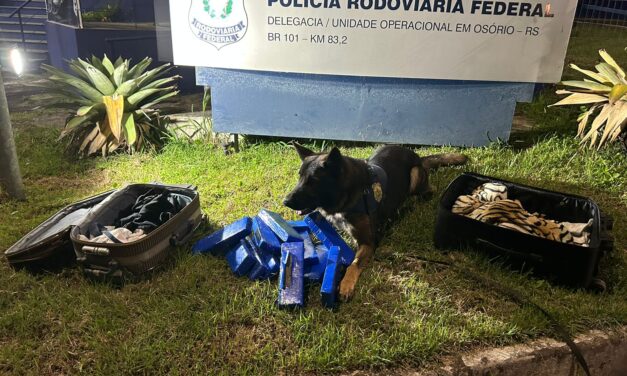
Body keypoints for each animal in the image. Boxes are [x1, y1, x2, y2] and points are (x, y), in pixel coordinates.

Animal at [284, 142, 466, 302]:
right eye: (300, 177)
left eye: (313, 181)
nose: (285, 201)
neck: (347, 193)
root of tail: (417, 156)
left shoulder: (368, 242)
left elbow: (354, 264)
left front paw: (346, 284)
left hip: (415, 175)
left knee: (427, 192)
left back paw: (407, 206)